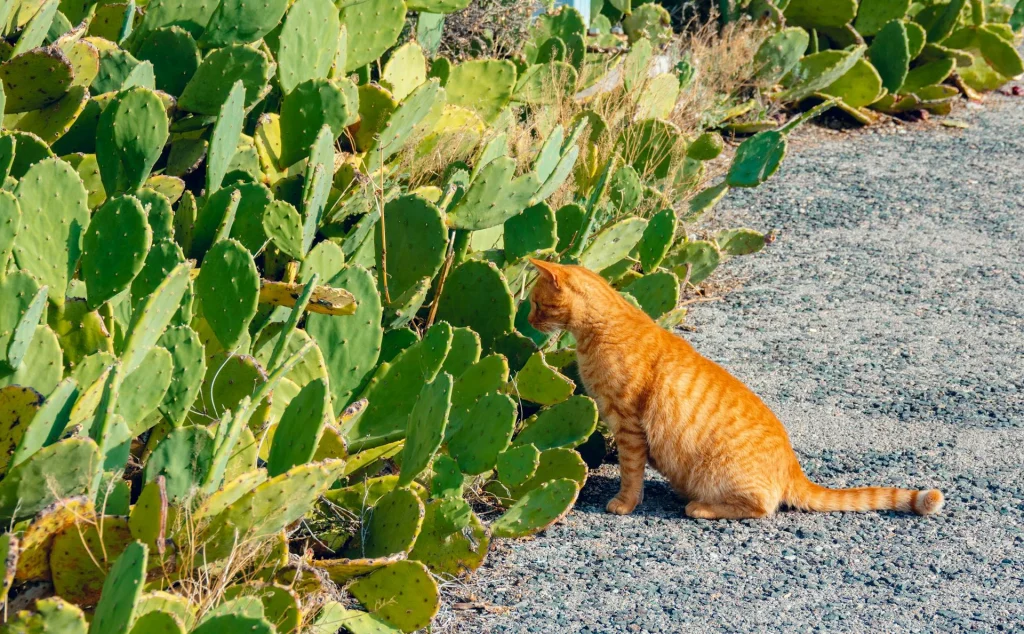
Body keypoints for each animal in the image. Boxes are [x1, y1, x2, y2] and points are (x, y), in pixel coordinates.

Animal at [528, 259, 942, 520]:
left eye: (535, 303)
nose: (528, 320)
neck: (605, 326)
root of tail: (793, 466)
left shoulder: (628, 425)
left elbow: (631, 473)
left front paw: (625, 503)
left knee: (761, 508)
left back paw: (700, 507)